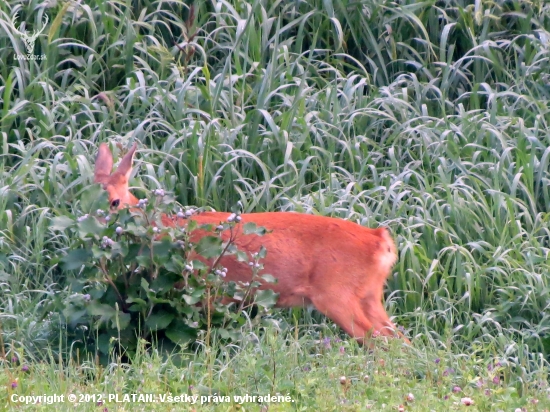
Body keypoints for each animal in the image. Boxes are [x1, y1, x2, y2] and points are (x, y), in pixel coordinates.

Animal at [94, 142, 410, 344]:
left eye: (114, 201)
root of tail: (380, 240)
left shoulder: (208, 289)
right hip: (369, 294)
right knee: (399, 340)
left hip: (337, 294)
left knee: (380, 340)